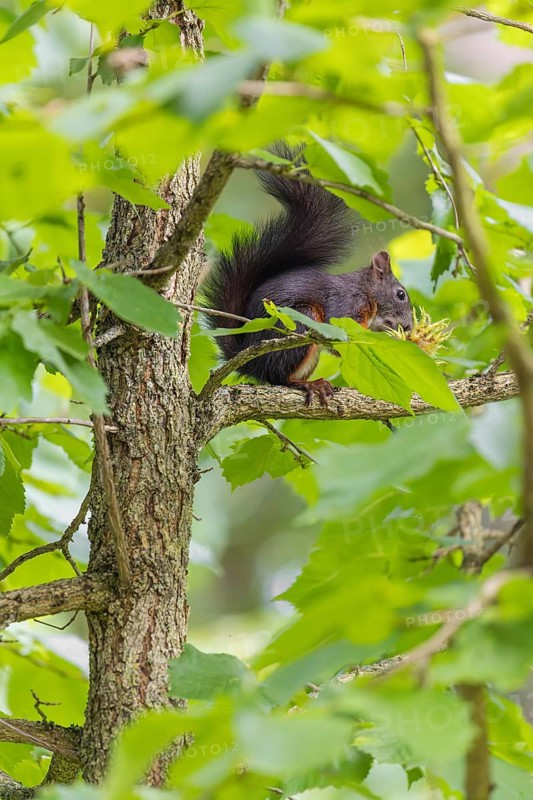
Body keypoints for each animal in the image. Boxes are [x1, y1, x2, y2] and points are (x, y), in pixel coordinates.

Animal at [203, 141, 414, 405]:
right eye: (400, 294)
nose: (409, 328)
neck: (367, 291)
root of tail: (251, 362)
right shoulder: (346, 304)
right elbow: (339, 337)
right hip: (300, 323)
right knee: (280, 377)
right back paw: (309, 385)